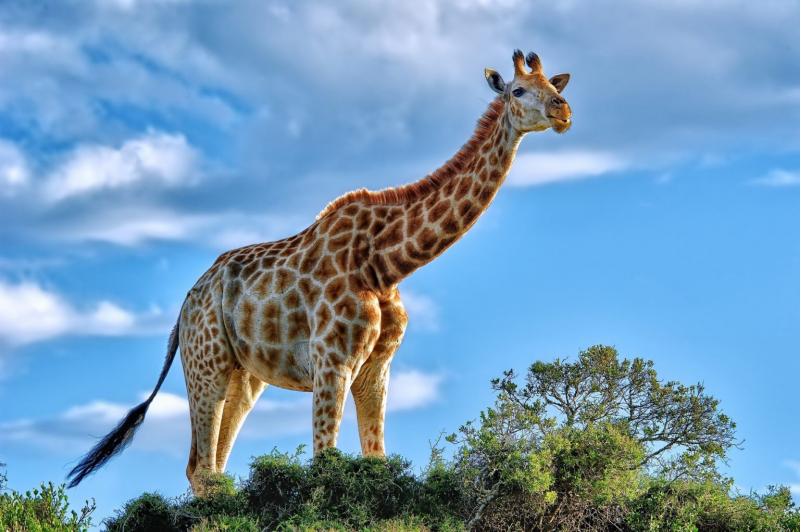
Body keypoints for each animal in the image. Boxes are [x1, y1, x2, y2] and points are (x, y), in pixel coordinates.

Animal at [67, 49, 572, 494]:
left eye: (555, 85)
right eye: (519, 90)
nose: (563, 111)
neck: (386, 264)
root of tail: (184, 307)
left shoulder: (376, 369)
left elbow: (376, 462)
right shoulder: (332, 362)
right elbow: (325, 465)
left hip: (242, 377)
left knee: (211, 469)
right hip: (204, 363)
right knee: (202, 468)